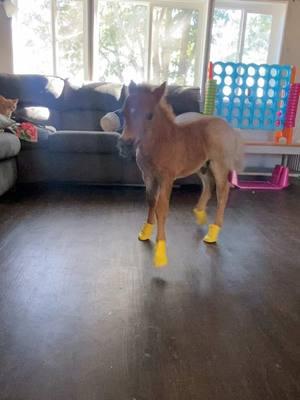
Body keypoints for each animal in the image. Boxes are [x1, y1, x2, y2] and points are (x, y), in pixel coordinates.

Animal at [118, 81, 243, 268]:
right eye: (124, 112)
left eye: (149, 115)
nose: (125, 145)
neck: (160, 142)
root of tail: (228, 127)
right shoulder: (148, 176)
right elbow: (151, 201)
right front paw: (145, 231)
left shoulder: (167, 178)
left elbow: (161, 208)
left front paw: (160, 251)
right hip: (202, 166)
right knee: (208, 187)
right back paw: (199, 214)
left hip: (219, 165)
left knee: (222, 192)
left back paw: (213, 233)